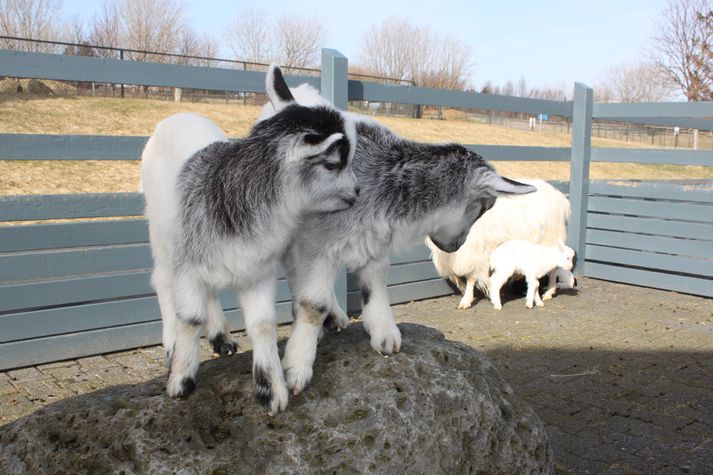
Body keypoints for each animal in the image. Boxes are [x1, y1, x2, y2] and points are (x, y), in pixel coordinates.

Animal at [140, 66, 358, 415]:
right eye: (333, 163)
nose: (357, 191)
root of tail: (176, 117)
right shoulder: (188, 264)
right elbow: (190, 317)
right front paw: (181, 379)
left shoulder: (257, 268)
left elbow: (263, 324)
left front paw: (271, 388)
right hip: (161, 232)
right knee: (162, 280)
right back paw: (172, 344)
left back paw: (222, 337)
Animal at [257, 84, 536, 395]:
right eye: (484, 207)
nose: (455, 246)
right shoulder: (316, 245)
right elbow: (313, 303)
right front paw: (297, 366)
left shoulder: (373, 244)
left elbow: (376, 285)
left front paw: (385, 334)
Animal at [426, 179, 571, 309]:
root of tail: (560, 197)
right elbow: (453, 276)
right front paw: (464, 290)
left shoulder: (476, 252)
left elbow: (471, 277)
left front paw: (466, 300)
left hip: (551, 238)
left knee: (554, 268)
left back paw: (549, 292)